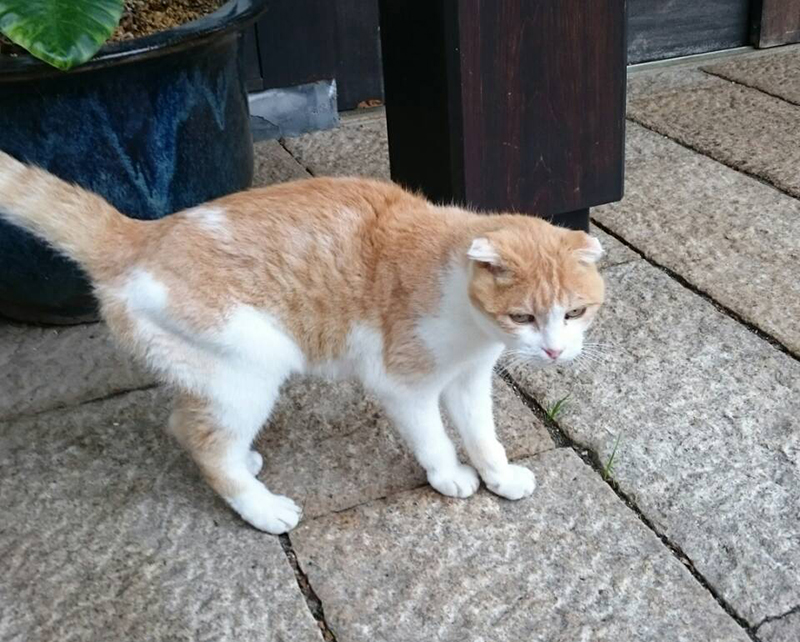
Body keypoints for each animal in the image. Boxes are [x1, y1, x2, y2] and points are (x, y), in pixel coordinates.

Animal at [0, 149, 600, 528]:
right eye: (523, 316)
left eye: (574, 313)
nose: (553, 350)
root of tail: (140, 234)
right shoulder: (403, 384)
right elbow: (433, 437)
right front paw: (450, 475)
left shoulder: (469, 379)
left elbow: (482, 435)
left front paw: (498, 475)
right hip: (251, 369)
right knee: (204, 443)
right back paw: (262, 509)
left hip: (214, 375)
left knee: (183, 423)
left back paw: (245, 462)